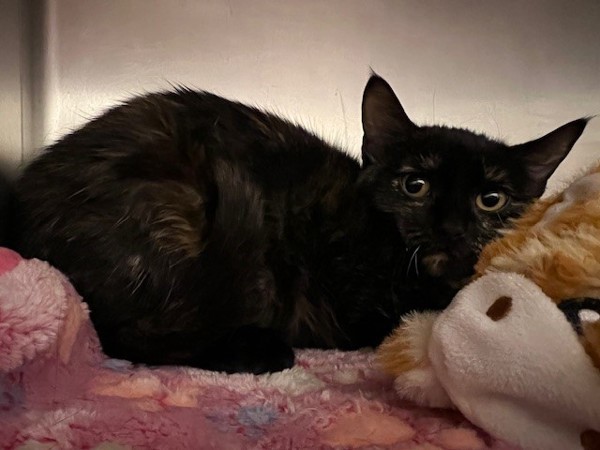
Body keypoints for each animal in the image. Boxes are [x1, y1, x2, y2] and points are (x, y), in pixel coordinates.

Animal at [11, 75, 588, 374]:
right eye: (414, 186)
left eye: (492, 199)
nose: (450, 226)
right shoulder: (361, 310)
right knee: (127, 337)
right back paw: (255, 348)